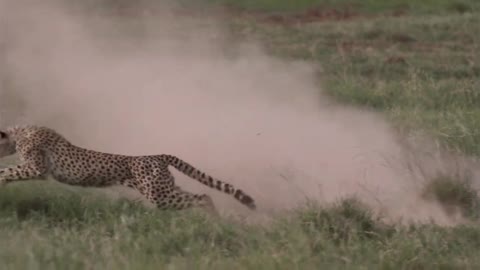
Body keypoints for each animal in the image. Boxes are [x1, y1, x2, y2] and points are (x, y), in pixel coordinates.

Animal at [0, 125, 255, 215]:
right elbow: (10, 172)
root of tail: (158, 154)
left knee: (203, 197)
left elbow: (9, 170)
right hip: (164, 189)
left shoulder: (37, 168)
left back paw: (214, 220)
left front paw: (1, 178)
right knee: (199, 195)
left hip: (159, 195)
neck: (18, 133)